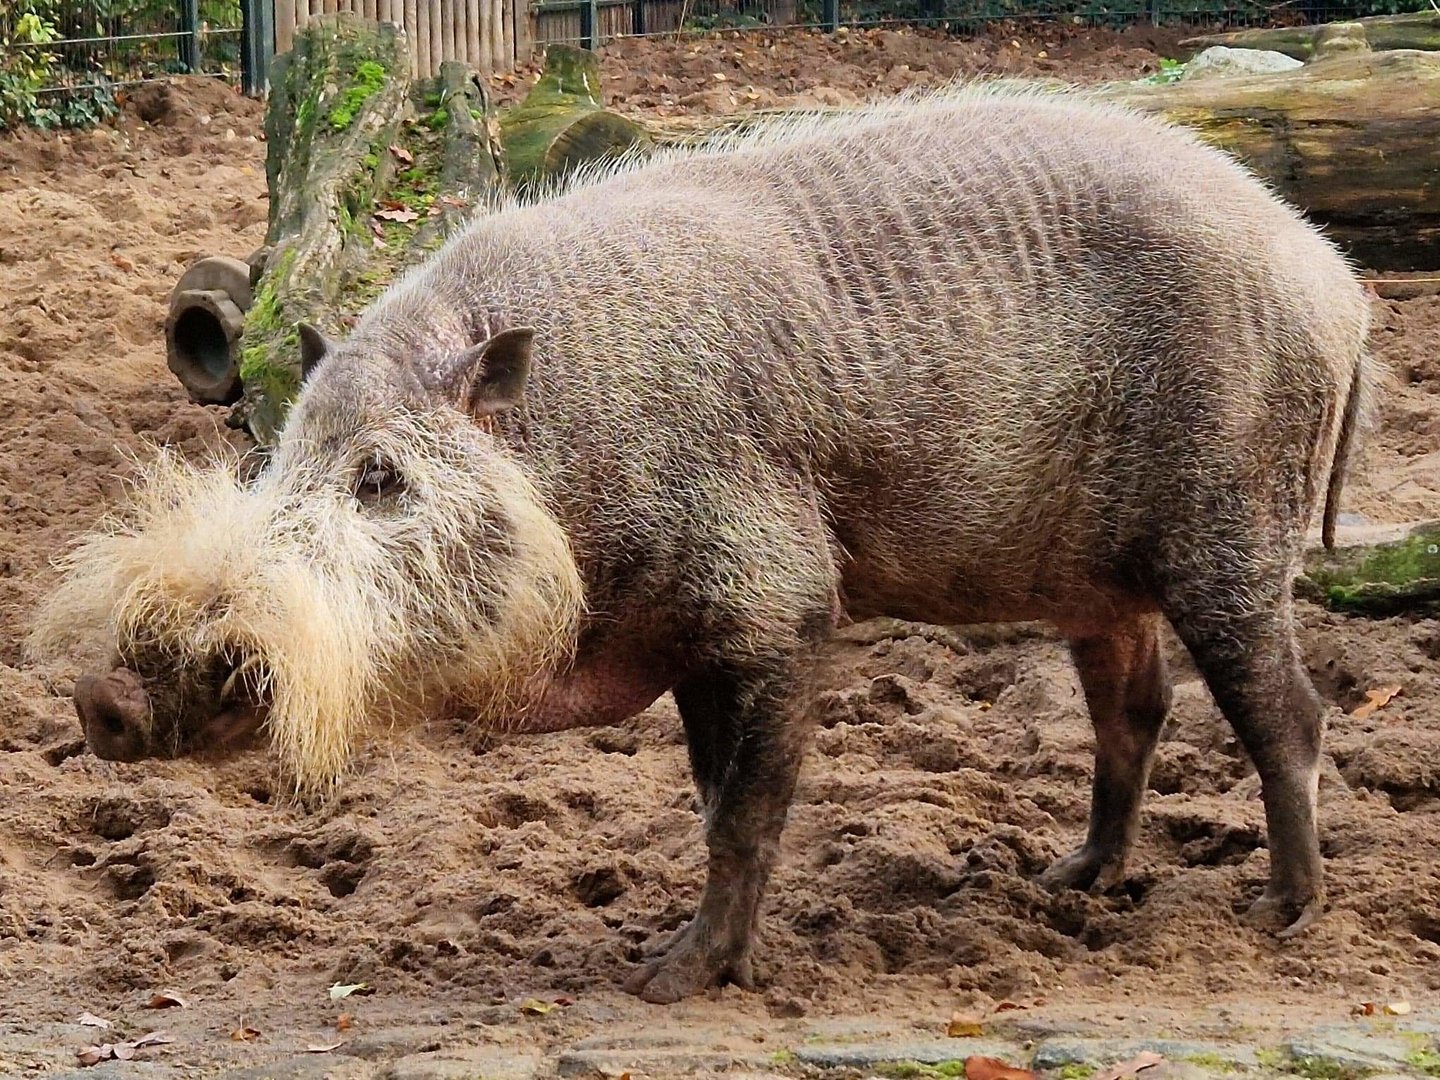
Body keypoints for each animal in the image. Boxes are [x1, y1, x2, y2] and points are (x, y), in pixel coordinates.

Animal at [29, 82, 1378, 1004]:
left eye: (379, 477)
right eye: (280, 457)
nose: (106, 696)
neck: (573, 456)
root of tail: (1337, 280)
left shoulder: (780, 602)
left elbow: (746, 807)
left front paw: (666, 984)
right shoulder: (685, 640)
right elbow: (703, 795)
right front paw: (664, 955)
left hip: (1231, 529)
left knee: (1289, 715)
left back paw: (1283, 914)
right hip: (1101, 580)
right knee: (1135, 709)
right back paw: (1067, 883)